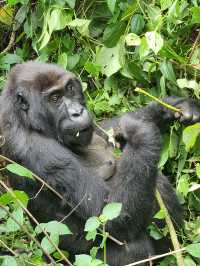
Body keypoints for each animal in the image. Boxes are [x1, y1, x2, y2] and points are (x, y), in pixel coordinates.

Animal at [0, 61, 200, 264]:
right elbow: (111, 219)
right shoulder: (40, 151)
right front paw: (140, 131)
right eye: (54, 98)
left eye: (70, 89)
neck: (25, 121)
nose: (77, 112)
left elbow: (108, 130)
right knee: (135, 246)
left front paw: (173, 106)